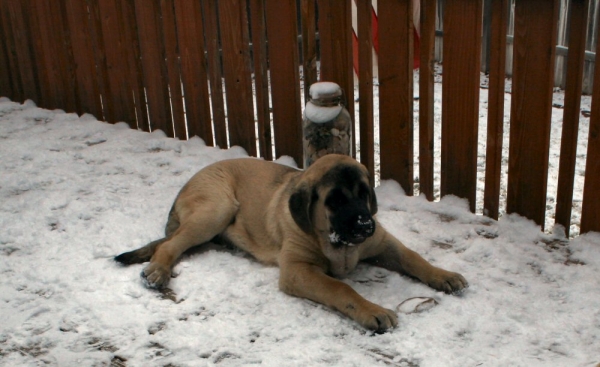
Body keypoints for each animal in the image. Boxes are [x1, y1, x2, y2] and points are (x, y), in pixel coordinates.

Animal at [115, 154, 466, 332]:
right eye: (334, 201)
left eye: (364, 193)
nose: (365, 224)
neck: (338, 245)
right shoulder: (297, 270)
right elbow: (340, 288)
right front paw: (373, 311)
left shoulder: (382, 243)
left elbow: (413, 257)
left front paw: (445, 276)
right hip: (217, 207)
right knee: (169, 244)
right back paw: (158, 271)